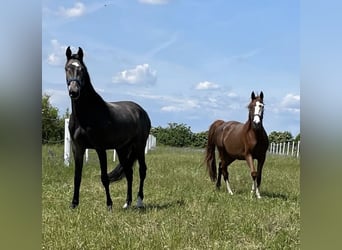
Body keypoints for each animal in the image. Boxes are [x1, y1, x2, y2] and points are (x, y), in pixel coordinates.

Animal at [65, 46, 150, 209]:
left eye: (82, 69)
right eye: (67, 68)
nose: (74, 91)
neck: (87, 113)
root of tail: (141, 110)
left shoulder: (100, 148)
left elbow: (104, 177)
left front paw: (109, 205)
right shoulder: (77, 148)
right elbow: (77, 177)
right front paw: (74, 204)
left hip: (139, 146)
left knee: (142, 170)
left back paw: (139, 201)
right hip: (122, 149)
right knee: (129, 173)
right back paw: (127, 203)